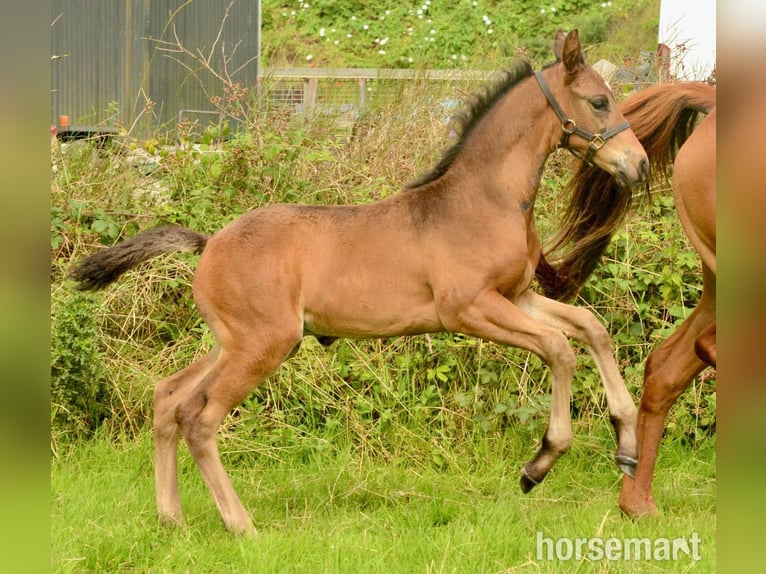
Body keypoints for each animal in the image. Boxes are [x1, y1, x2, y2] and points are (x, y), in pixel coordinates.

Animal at [70, 29, 649, 534]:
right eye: (600, 102)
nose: (639, 165)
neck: (484, 200)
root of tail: (209, 243)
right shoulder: (469, 309)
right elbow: (559, 348)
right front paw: (540, 463)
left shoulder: (517, 296)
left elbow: (589, 328)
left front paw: (626, 441)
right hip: (263, 345)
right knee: (200, 417)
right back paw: (240, 525)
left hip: (232, 342)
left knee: (168, 398)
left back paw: (171, 517)